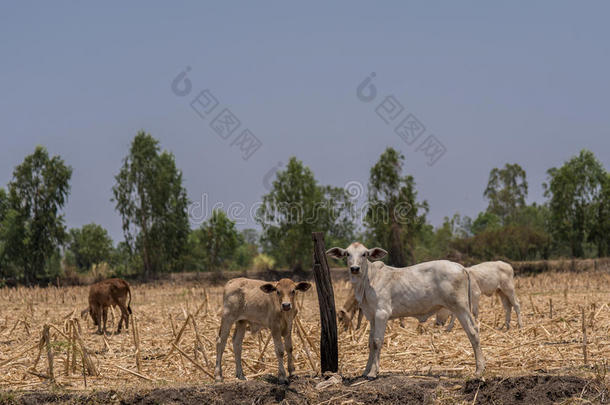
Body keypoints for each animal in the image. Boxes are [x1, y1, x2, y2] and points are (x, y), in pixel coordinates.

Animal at [326, 241, 482, 378]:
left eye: (364, 254)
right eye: (347, 254)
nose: (354, 268)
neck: (367, 282)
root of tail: (461, 267)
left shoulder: (382, 314)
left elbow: (377, 341)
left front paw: (373, 373)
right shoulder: (371, 316)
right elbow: (370, 342)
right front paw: (365, 371)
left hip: (461, 307)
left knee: (473, 332)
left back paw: (479, 370)